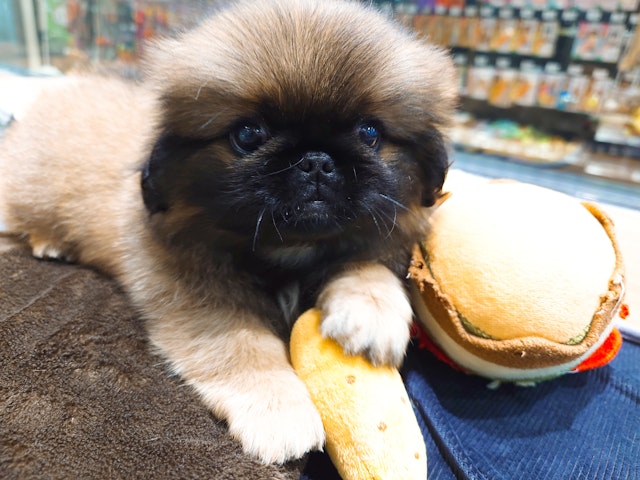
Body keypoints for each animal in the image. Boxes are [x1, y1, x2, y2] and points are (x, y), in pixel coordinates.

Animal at [2, 0, 458, 464]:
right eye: (248, 134)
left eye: (369, 134)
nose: (315, 160)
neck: (287, 248)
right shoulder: (197, 293)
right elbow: (244, 346)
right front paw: (279, 410)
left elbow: (366, 267)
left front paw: (372, 311)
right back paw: (49, 243)